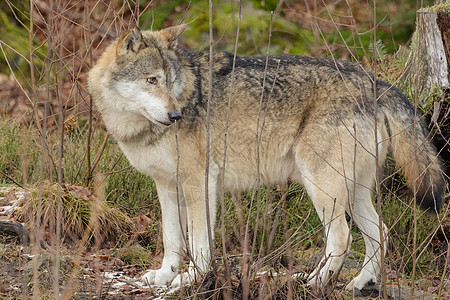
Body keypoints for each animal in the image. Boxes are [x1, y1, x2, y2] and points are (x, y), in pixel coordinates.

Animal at [88, 24, 442, 292]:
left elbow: (199, 243)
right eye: (152, 80)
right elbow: (172, 238)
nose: (175, 115)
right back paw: (359, 282)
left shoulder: (199, 182)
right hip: (352, 192)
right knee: (380, 232)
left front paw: (191, 280)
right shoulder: (166, 186)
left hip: (323, 188)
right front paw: (164, 276)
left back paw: (315, 283)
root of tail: (374, 81)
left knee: (342, 238)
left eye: (171, 82)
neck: (138, 129)